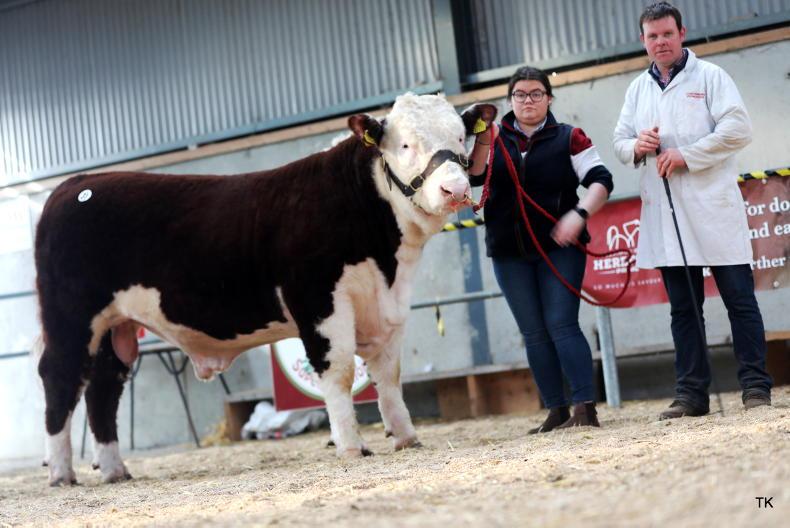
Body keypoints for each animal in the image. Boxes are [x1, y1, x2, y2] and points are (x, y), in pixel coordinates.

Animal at [34, 93, 497, 486]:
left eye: (460, 136)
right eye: (404, 145)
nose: (456, 189)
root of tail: (75, 185)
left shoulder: (389, 306)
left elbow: (388, 374)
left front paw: (406, 437)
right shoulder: (318, 300)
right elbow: (340, 371)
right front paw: (352, 447)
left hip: (116, 326)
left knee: (103, 387)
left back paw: (114, 470)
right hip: (71, 319)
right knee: (61, 378)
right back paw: (62, 473)